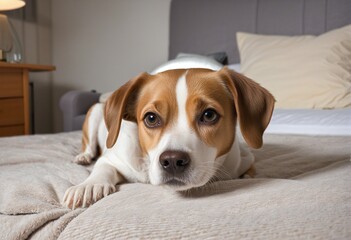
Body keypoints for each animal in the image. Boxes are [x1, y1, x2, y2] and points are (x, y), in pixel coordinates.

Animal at [62, 66, 276, 209]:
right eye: (151, 118)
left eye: (209, 115)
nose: (172, 160)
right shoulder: (114, 158)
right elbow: (102, 167)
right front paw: (89, 185)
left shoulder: (243, 160)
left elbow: (249, 171)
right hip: (95, 112)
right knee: (89, 146)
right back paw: (83, 156)